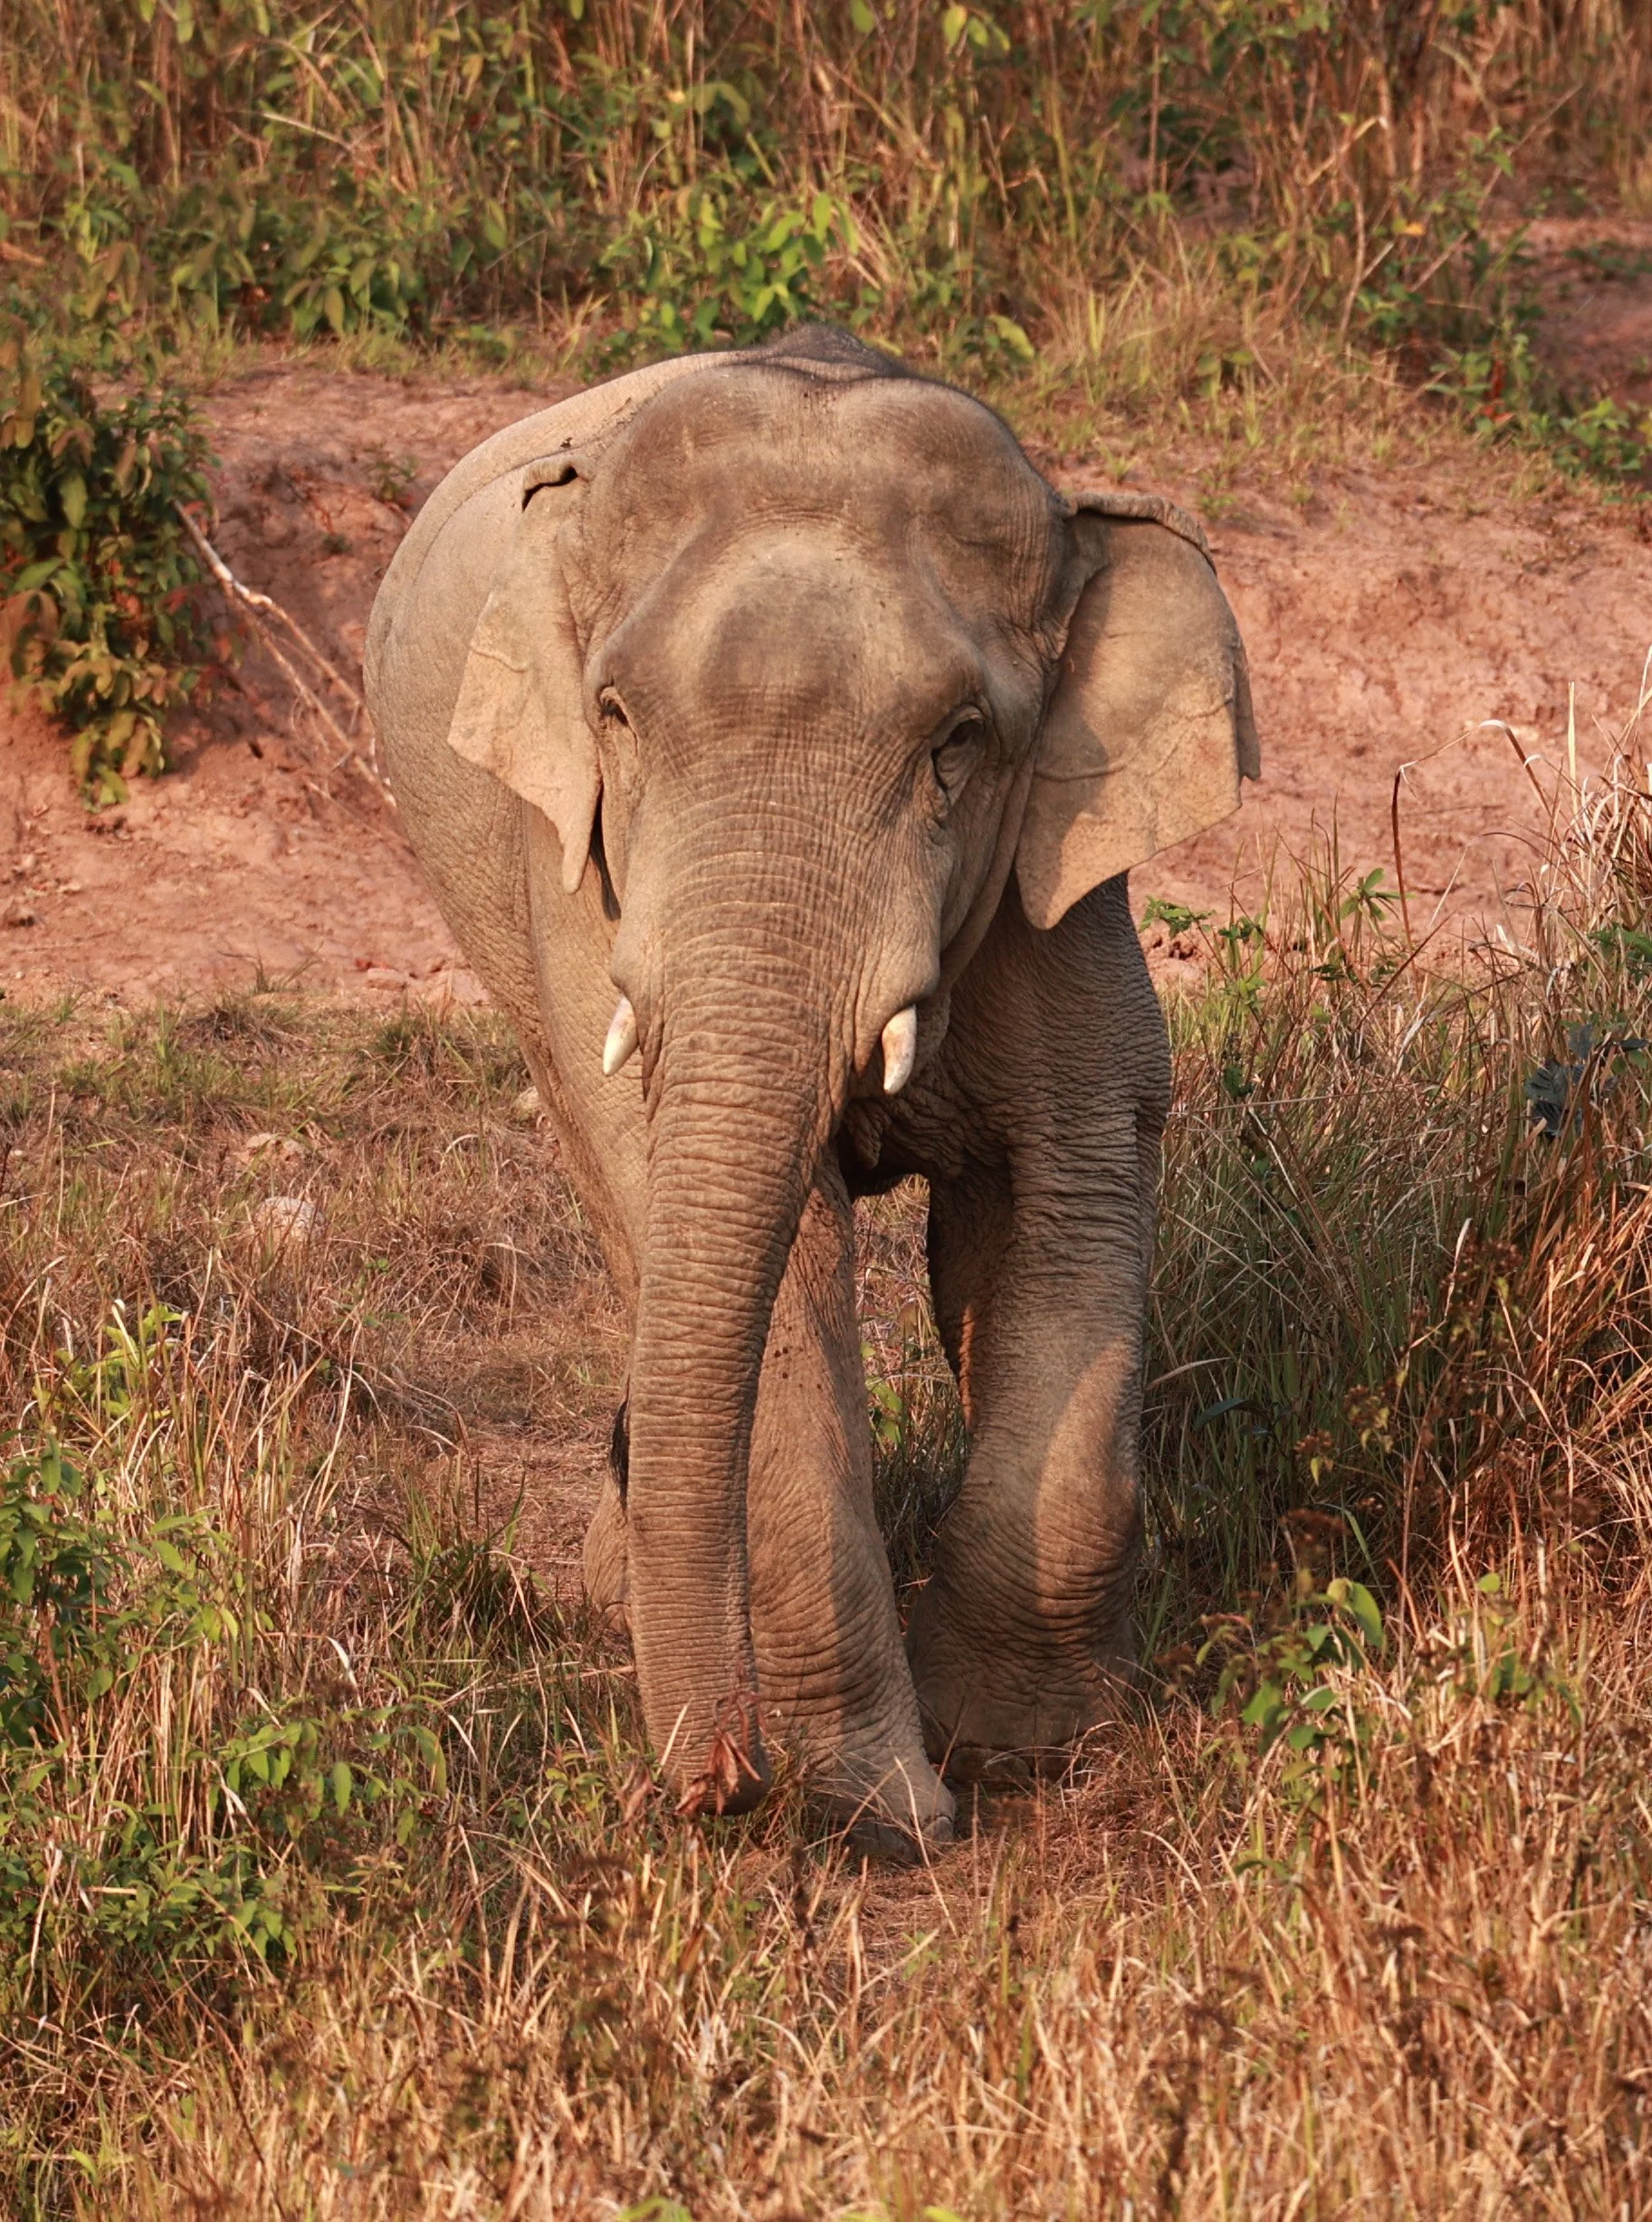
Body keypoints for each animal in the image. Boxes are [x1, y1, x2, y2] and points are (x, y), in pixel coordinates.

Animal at [365, 324, 1257, 1848]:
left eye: (960, 739)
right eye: (613, 714)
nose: (711, 1777)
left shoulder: (1060, 890)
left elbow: (1076, 1171)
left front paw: (1016, 1745)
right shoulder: (585, 880)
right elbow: (761, 1249)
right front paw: (876, 1814)